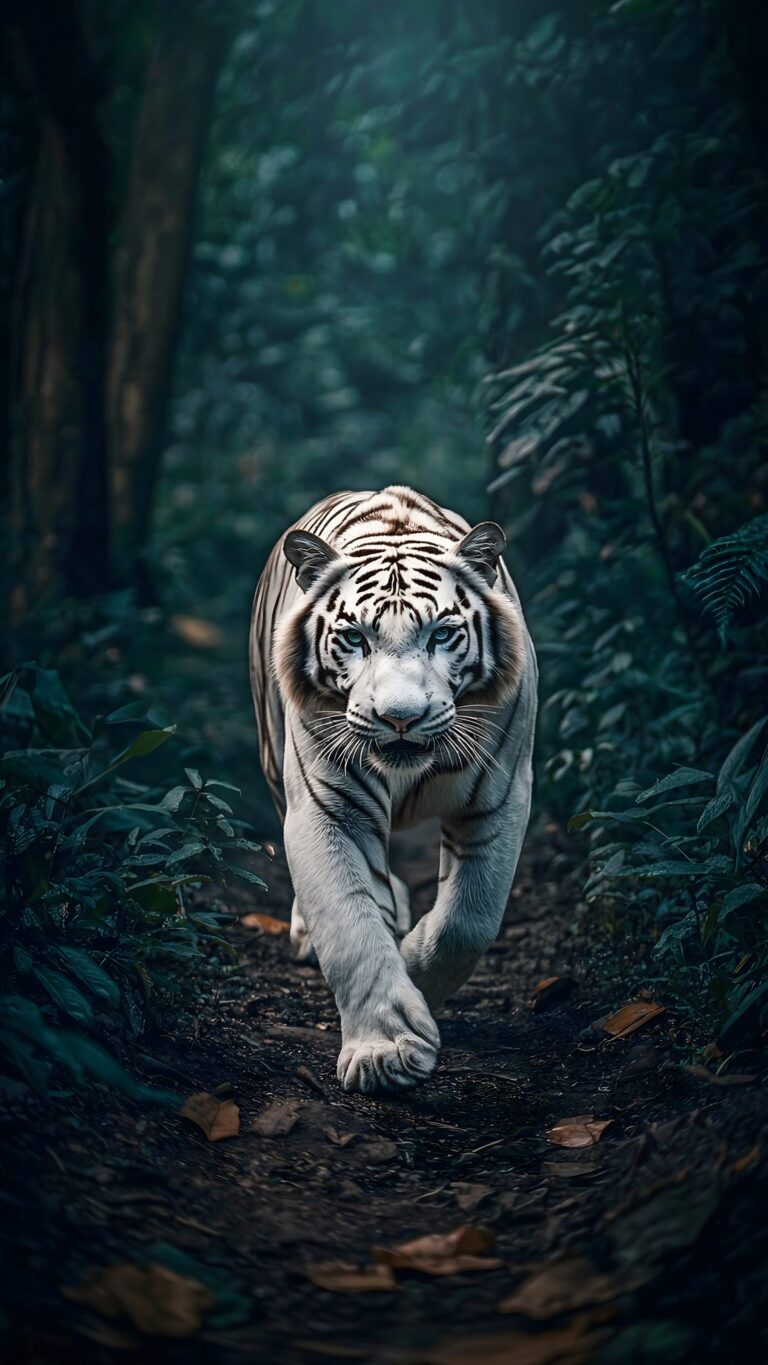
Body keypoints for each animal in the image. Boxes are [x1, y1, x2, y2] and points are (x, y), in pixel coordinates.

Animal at [249, 485, 537, 1094]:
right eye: (354, 638)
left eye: (443, 634)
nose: (400, 718)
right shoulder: (329, 806)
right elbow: (349, 922)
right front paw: (386, 1051)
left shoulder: (501, 794)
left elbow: (469, 918)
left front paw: (417, 975)